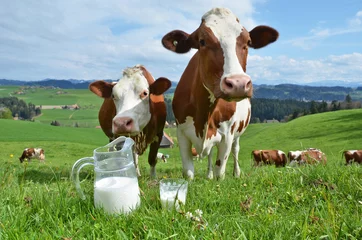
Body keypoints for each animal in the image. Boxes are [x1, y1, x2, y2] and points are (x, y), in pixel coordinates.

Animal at [161, 7, 278, 178]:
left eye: (248, 42)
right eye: (202, 41)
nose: (238, 84)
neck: (203, 113)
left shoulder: (227, 135)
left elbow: (220, 172)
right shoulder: (181, 133)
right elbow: (188, 173)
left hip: (237, 133)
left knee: (236, 150)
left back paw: (236, 173)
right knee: (209, 153)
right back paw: (208, 175)